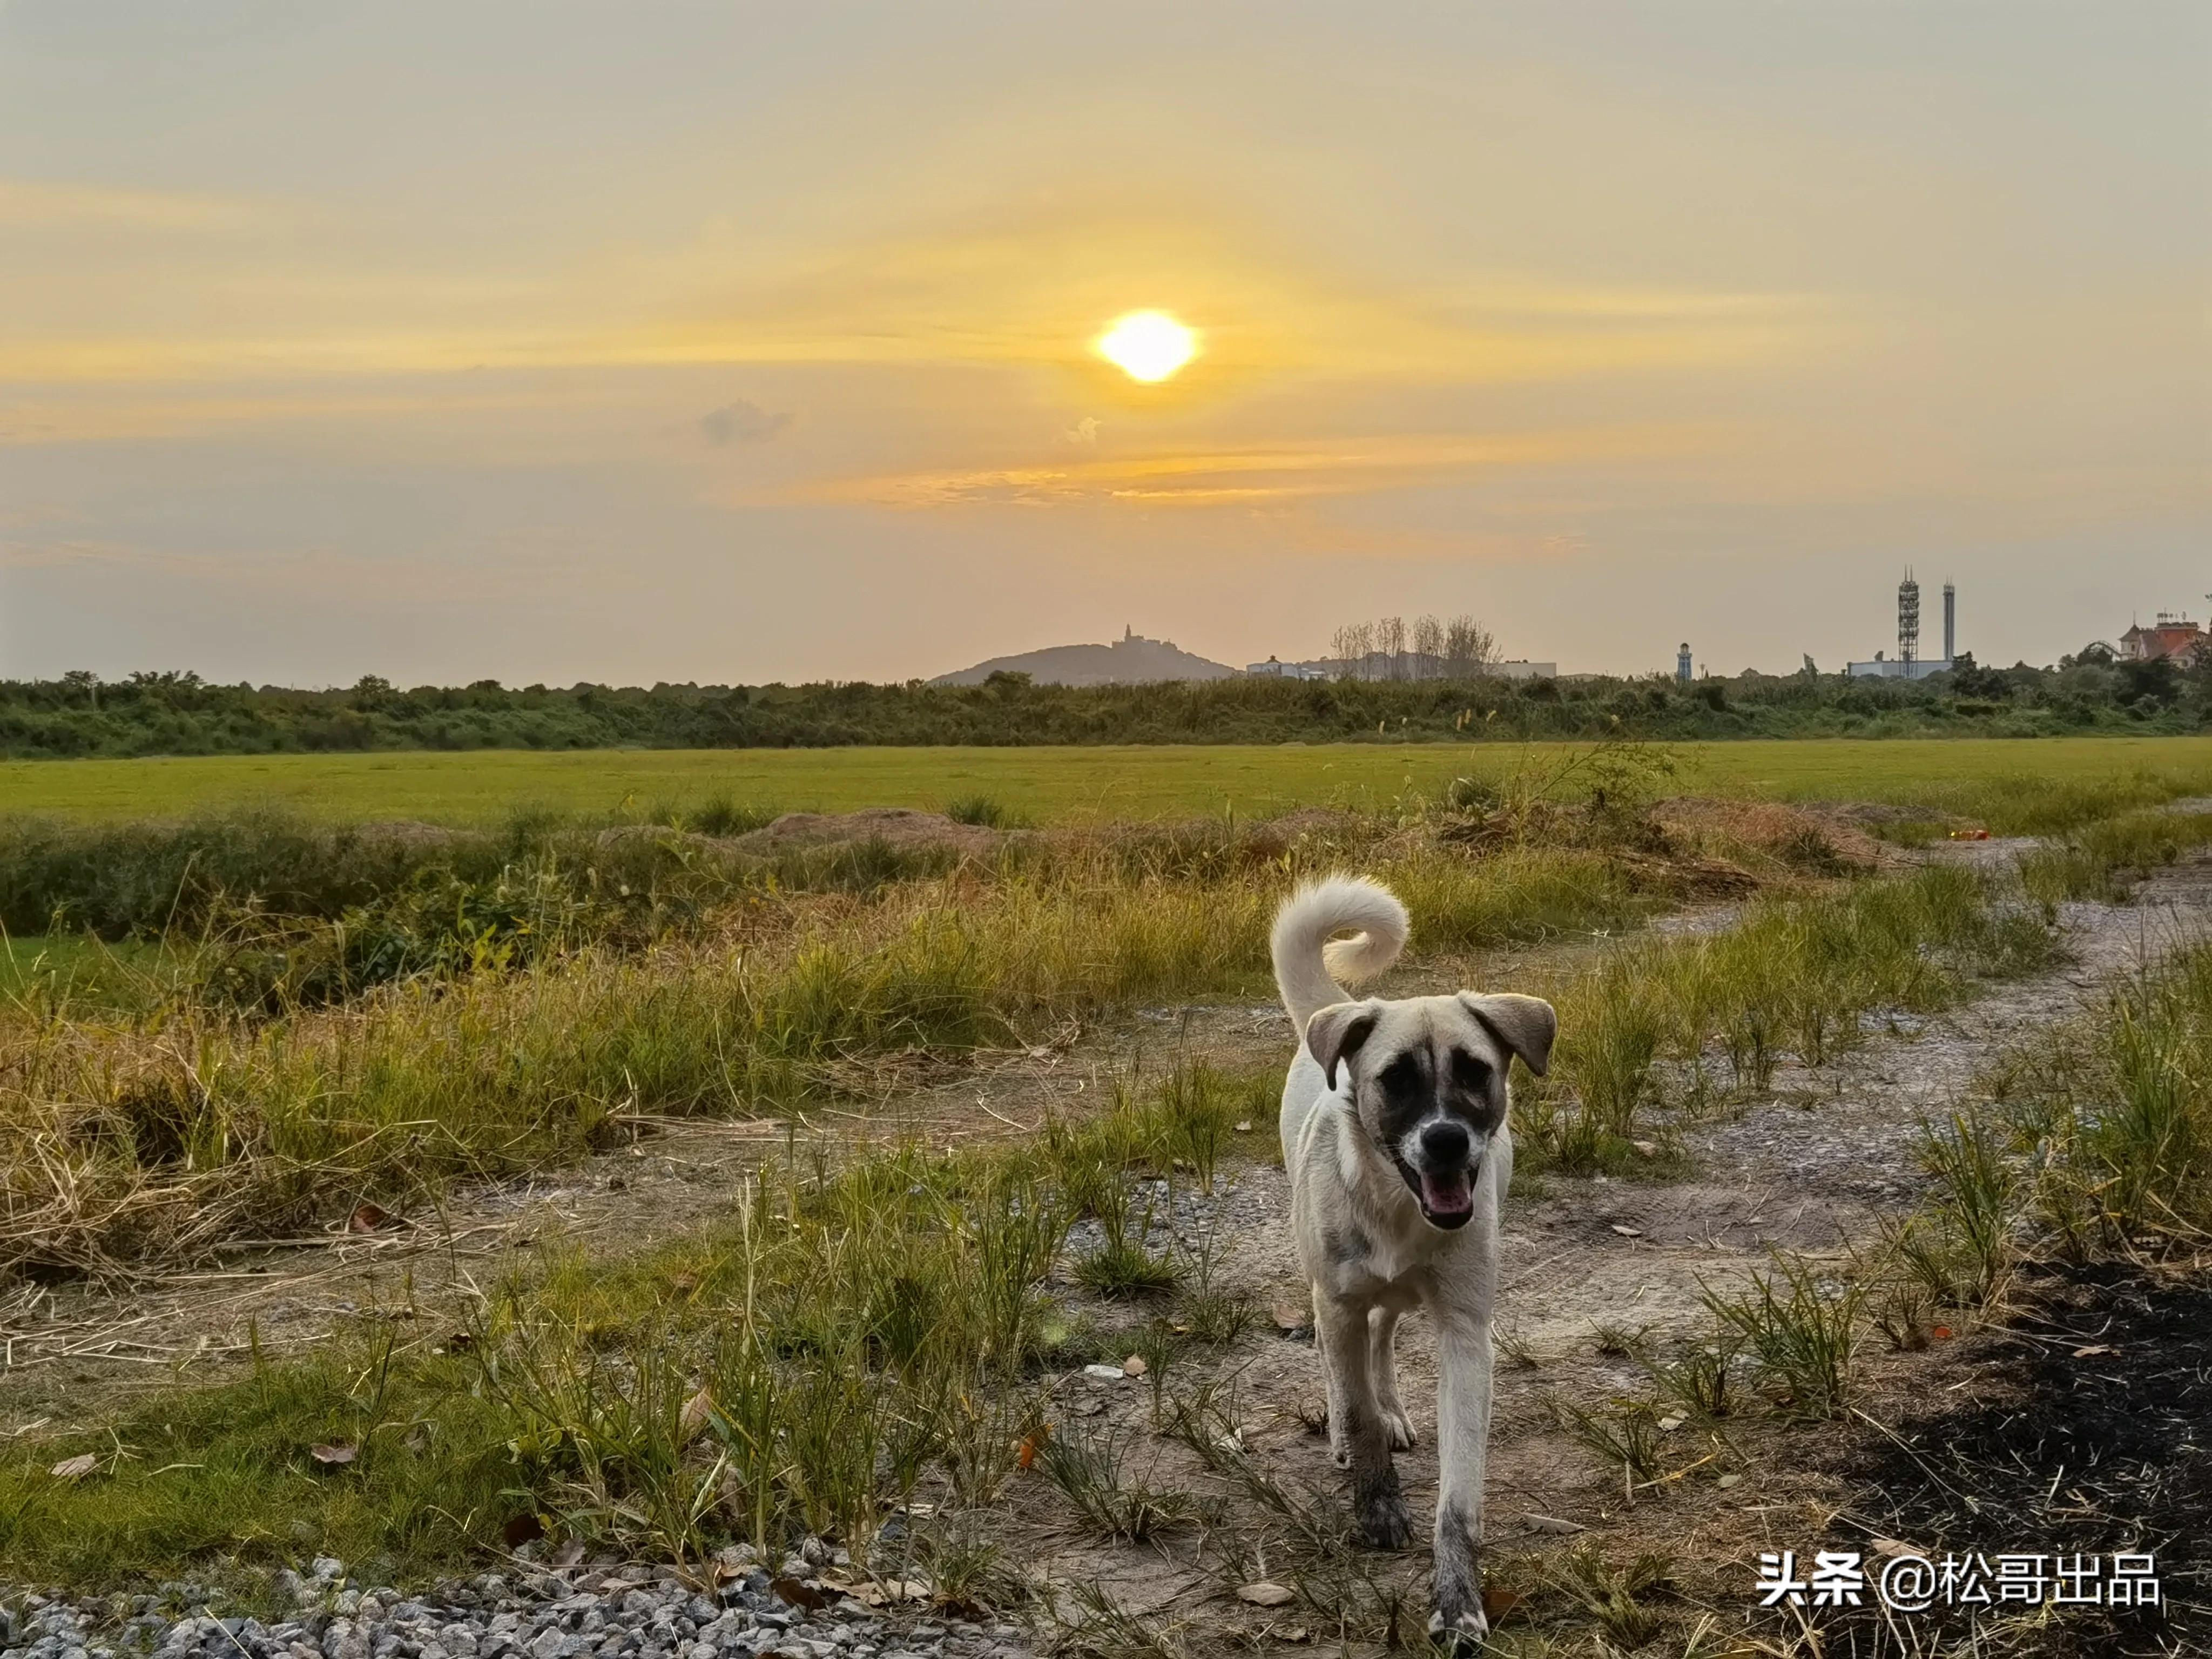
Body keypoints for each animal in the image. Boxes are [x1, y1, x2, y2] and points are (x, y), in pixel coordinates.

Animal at [1274, 876, 1566, 1654]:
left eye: (1475, 1072)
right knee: (1340, 1356)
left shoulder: (1464, 1334)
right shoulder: (1338, 1299)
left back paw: (1397, 1410)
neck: (1398, 1210)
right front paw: (1375, 1505)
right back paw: (1350, 1439)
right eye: (1395, 1080)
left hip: (1398, 1300)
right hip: (1327, 1286)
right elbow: (1352, 1405)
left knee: (1382, 1339)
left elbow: (1459, 1496)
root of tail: (1339, 1009)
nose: (1445, 1142)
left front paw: (1457, 1600)